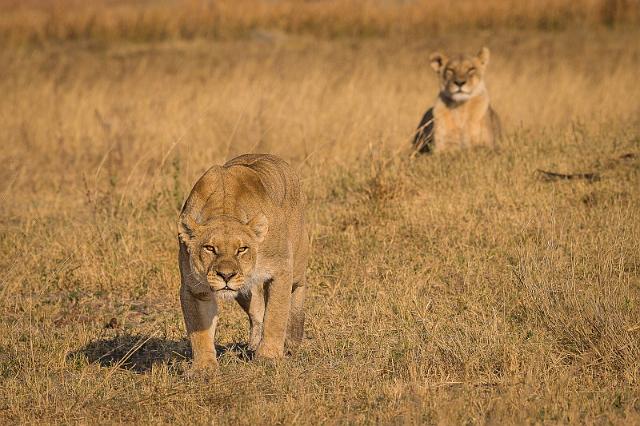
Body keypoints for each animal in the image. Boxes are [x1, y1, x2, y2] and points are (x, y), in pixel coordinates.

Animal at [176, 154, 308, 370]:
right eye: (209, 248)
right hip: (244, 290)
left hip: (296, 261)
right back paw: (254, 345)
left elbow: (275, 316)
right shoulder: (194, 287)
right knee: (257, 310)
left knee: (298, 289)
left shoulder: (281, 270)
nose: (226, 275)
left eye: (241, 249)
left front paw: (269, 357)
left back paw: (292, 341)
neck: (223, 210)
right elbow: (199, 330)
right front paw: (203, 368)